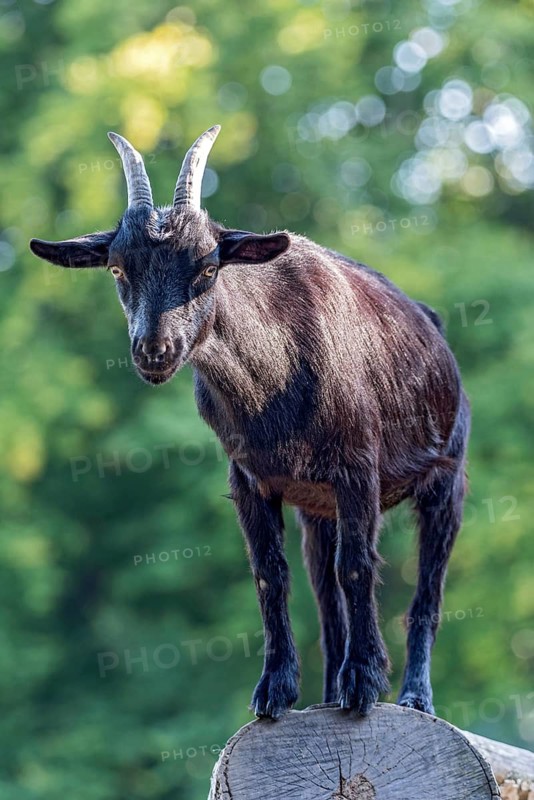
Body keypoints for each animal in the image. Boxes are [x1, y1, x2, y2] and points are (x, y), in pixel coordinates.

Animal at [30, 126, 470, 719]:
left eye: (208, 268)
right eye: (119, 269)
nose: (154, 351)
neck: (276, 377)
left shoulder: (359, 467)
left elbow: (358, 565)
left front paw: (363, 682)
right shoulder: (250, 477)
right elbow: (270, 574)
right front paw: (275, 691)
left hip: (446, 478)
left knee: (427, 588)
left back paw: (414, 697)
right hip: (317, 507)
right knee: (325, 594)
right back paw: (328, 695)